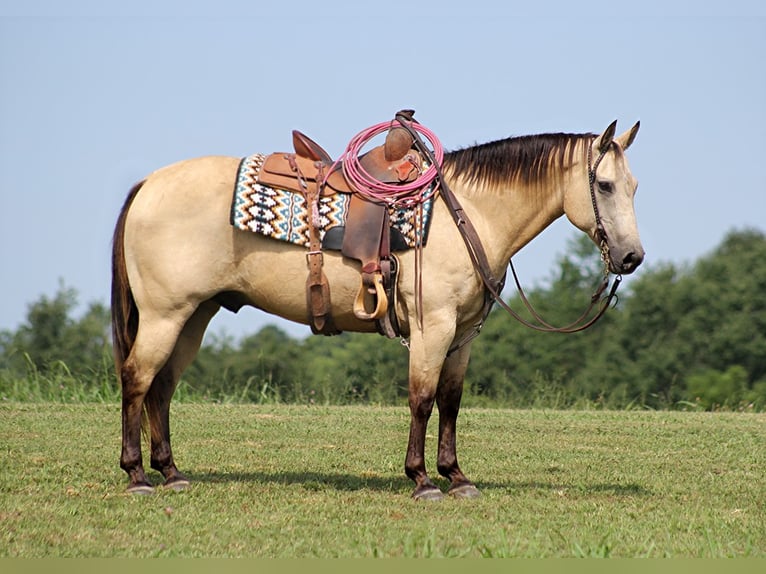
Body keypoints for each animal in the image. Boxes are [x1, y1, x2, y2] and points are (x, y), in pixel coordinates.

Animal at [111, 111, 644, 500]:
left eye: (634, 187)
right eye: (604, 186)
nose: (631, 257)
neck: (467, 212)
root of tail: (147, 185)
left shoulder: (463, 335)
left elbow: (451, 401)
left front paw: (456, 476)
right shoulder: (434, 327)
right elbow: (422, 398)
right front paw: (422, 479)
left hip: (193, 317)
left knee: (161, 387)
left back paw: (172, 473)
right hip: (165, 315)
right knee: (137, 379)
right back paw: (137, 475)